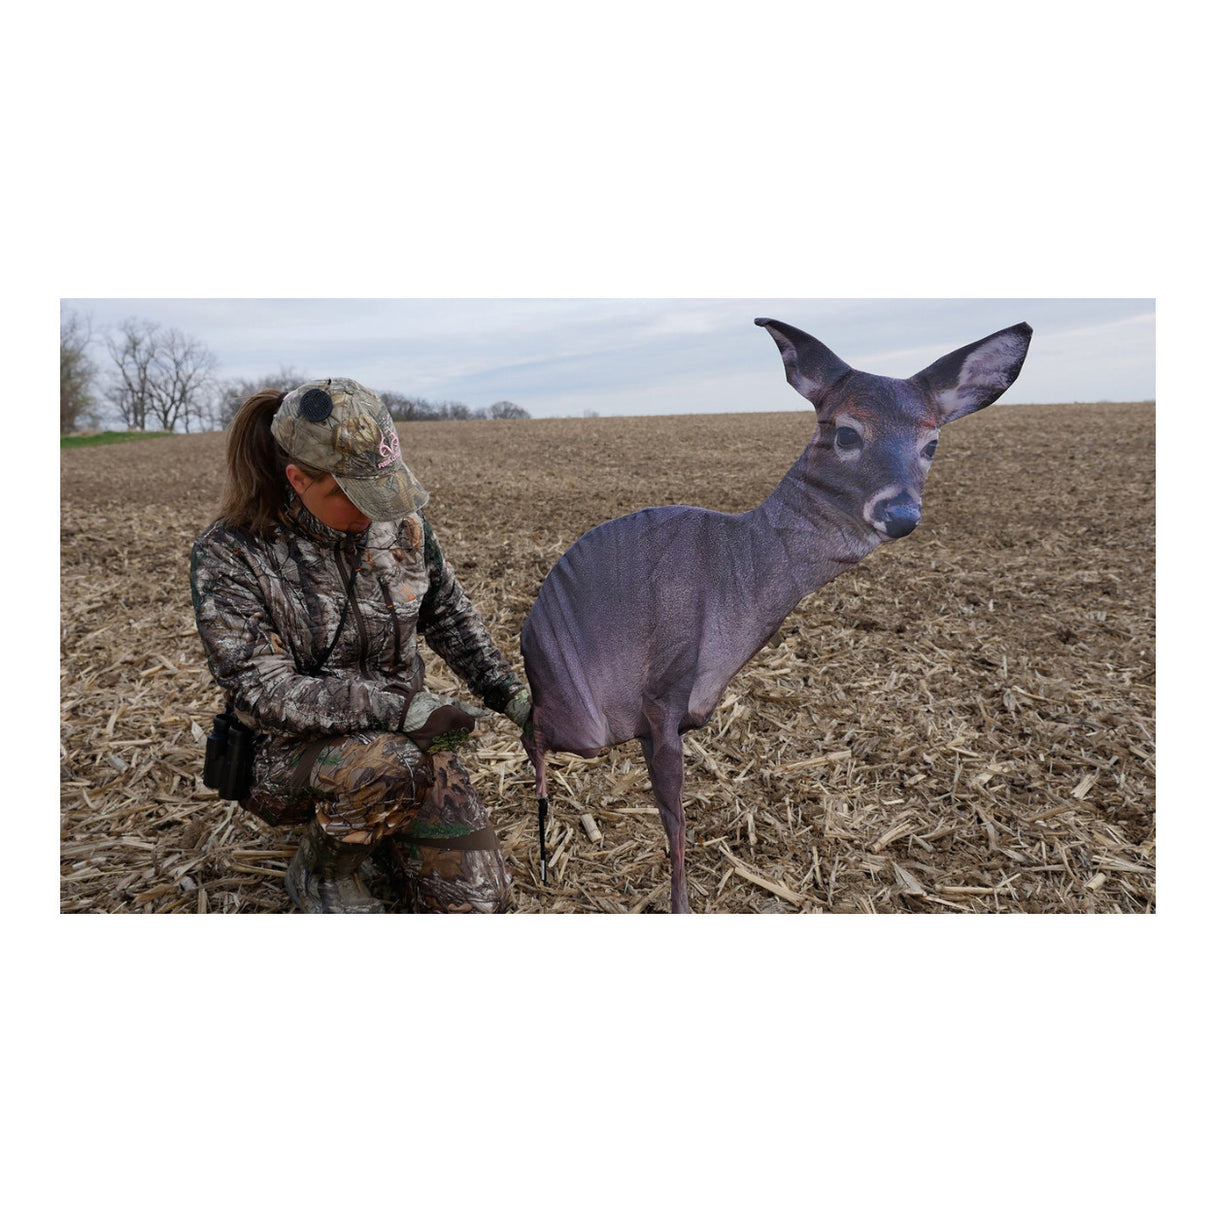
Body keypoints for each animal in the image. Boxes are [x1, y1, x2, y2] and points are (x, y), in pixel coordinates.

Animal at [519, 316, 1032, 913]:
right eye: (846, 433)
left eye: (932, 443)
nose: (901, 512)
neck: (735, 583)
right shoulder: (660, 693)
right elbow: (674, 825)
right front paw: (680, 905)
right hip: (584, 720)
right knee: (531, 731)